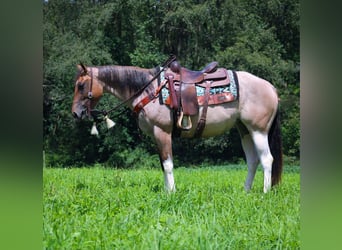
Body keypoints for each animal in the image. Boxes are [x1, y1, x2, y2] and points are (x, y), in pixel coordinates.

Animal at [71, 56, 282, 193]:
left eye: (81, 86)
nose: (75, 113)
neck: (148, 89)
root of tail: (271, 87)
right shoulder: (157, 136)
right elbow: (163, 164)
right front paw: (167, 191)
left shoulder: (162, 132)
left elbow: (168, 164)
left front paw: (171, 192)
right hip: (244, 130)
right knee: (253, 161)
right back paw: (246, 191)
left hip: (258, 130)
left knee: (266, 159)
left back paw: (265, 192)